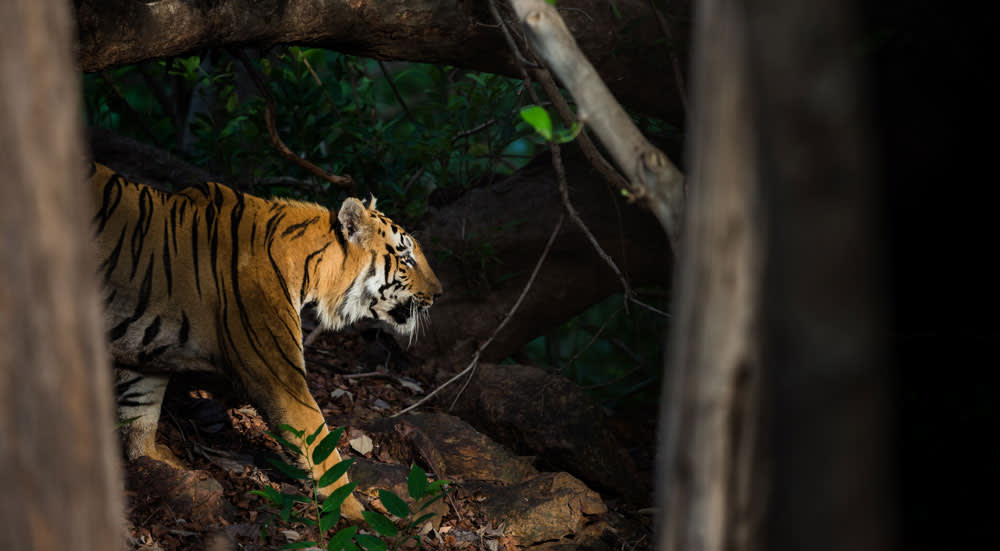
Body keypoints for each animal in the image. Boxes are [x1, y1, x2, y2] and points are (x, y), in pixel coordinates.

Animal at [89, 162, 442, 520]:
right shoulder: (280, 376)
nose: (440, 293)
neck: (310, 269)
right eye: (407, 258)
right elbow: (321, 446)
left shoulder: (146, 349)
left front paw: (153, 459)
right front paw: (359, 512)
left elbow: (141, 409)